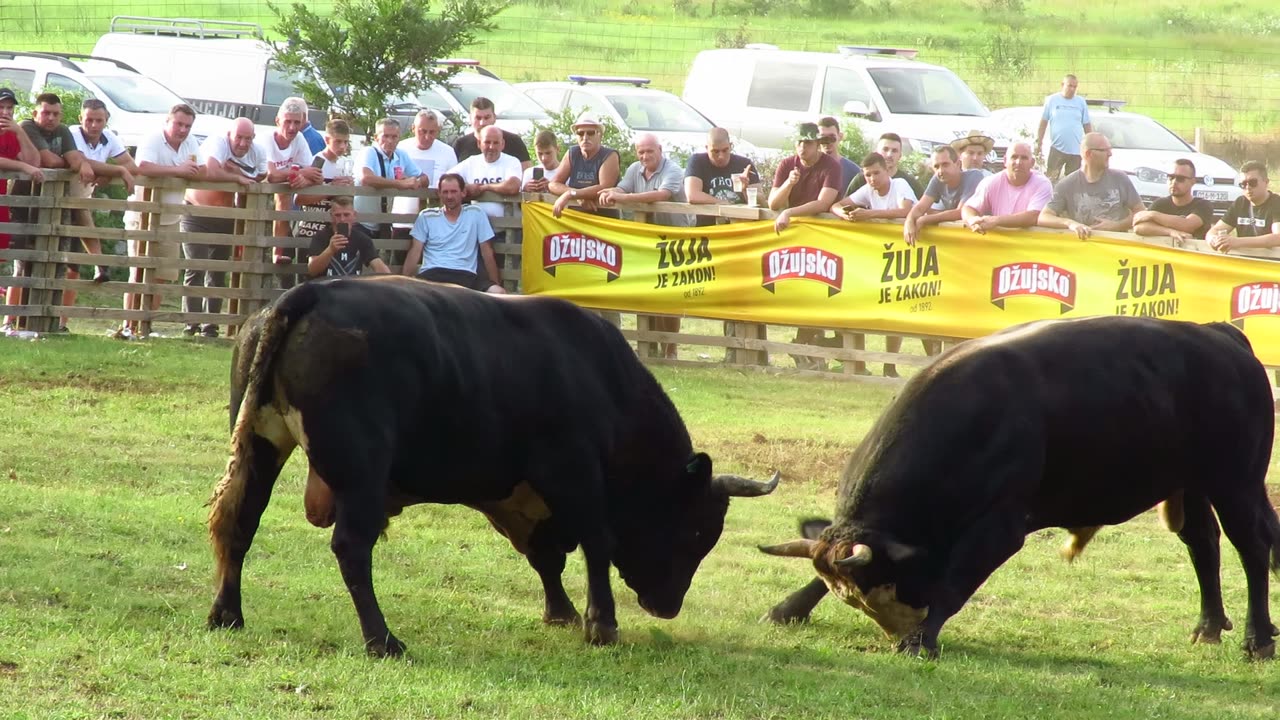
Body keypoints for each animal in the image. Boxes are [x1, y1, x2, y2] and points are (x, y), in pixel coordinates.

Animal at [204, 275, 773, 655]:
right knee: (351, 548)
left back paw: (227, 614)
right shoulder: (572, 474)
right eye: (696, 531)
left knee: (239, 525)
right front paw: (601, 623)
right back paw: (383, 639)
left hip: (260, 444)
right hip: (361, 473)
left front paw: (561, 613)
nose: (668, 604)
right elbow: (596, 544)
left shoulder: (526, 497)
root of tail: (313, 292)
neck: (604, 382)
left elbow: (547, 558)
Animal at [757, 316, 1280, 661]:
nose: (897, 628)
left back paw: (1257, 640)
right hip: (1193, 483)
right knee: (1203, 544)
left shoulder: (1000, 528)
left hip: (1235, 481)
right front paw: (789, 608)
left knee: (1252, 548)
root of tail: (1221, 336)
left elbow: (954, 583)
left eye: (889, 593)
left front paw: (921, 638)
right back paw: (1208, 626)